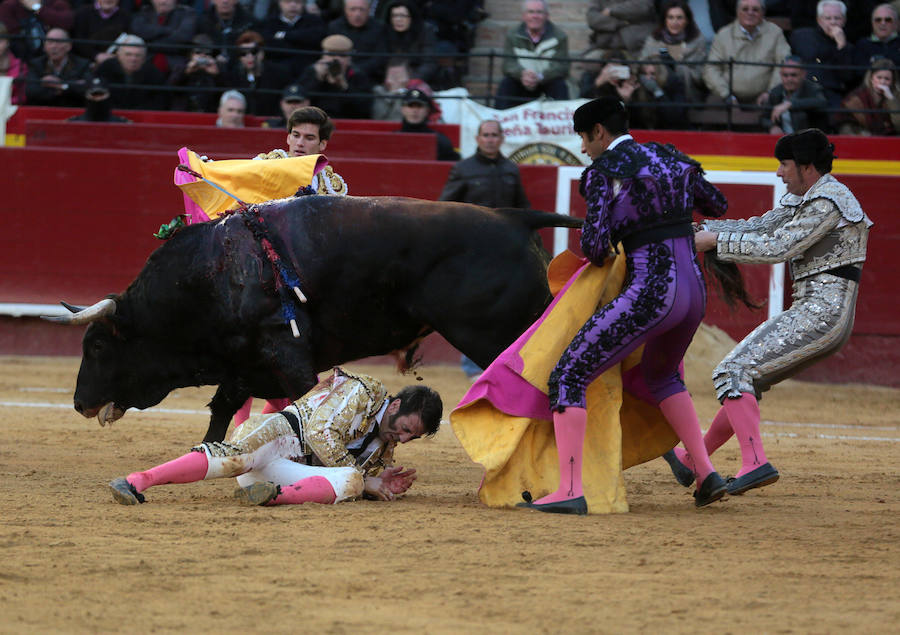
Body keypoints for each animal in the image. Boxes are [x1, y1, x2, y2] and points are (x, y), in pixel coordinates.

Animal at [54, 198, 584, 442]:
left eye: (97, 346)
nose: (79, 402)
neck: (210, 274)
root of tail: (514, 216)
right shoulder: (244, 361)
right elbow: (222, 409)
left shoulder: (285, 352)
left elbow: (303, 400)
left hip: (498, 335)